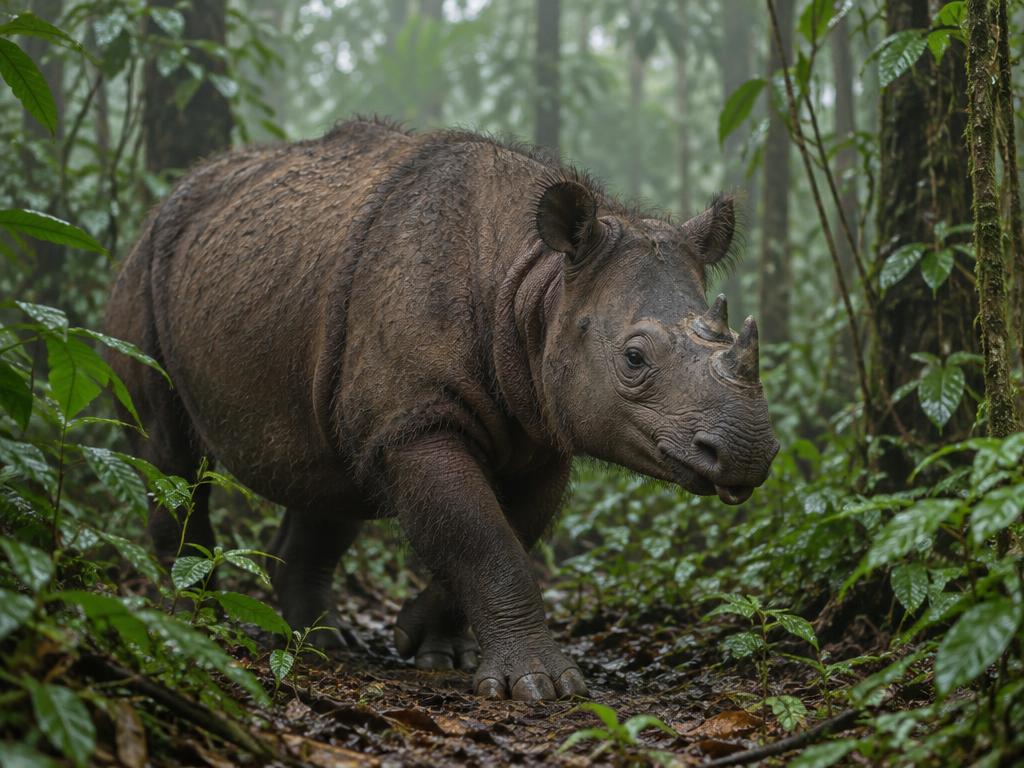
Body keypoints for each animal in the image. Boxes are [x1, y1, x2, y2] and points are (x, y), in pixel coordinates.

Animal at [106, 119, 778, 702]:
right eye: (634, 358)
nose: (749, 452)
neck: (534, 284)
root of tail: (160, 207)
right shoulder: (416, 422)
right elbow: (481, 537)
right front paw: (541, 686)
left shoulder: (540, 429)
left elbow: (508, 532)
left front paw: (429, 646)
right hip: (141, 278)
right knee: (170, 453)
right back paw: (196, 619)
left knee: (330, 475)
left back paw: (325, 642)